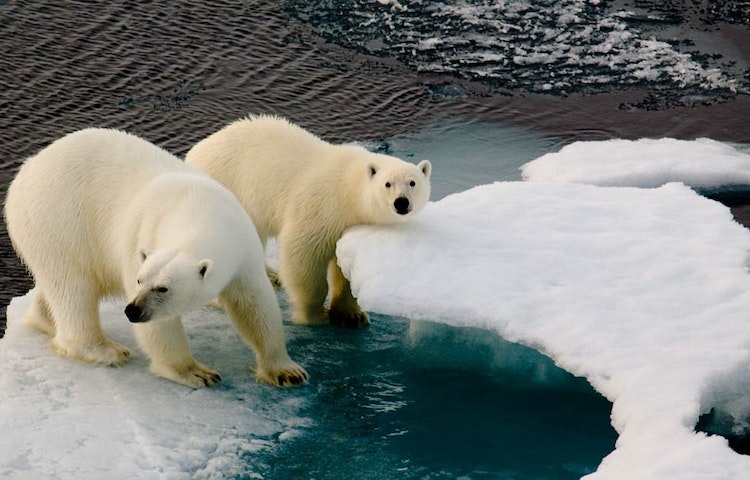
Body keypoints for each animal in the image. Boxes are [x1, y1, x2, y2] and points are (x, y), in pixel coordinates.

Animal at [4, 128, 308, 389]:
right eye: (140, 281)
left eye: (163, 288)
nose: (132, 310)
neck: (199, 210)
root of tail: (27, 168)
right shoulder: (140, 234)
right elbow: (161, 328)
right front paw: (196, 372)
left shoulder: (242, 245)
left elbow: (255, 303)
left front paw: (286, 371)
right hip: (58, 219)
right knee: (73, 286)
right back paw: (105, 350)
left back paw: (45, 320)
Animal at [185, 115, 431, 328]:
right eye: (388, 184)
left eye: (412, 182)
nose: (401, 203)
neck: (348, 189)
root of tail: (194, 152)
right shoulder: (321, 207)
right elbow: (303, 255)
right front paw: (314, 314)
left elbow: (345, 267)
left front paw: (351, 316)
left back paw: (271, 276)